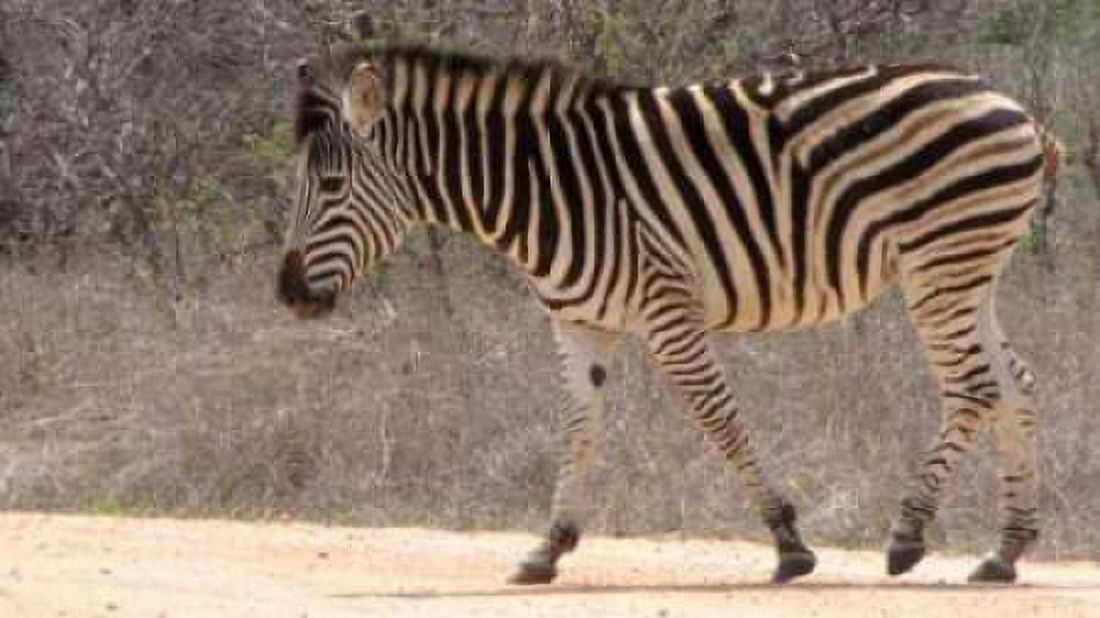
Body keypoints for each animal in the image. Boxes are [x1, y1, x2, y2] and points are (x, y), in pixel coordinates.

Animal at [276, 44, 1062, 585]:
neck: (542, 190)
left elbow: (719, 418)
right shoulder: (579, 322)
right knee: (1015, 383)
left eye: (332, 186)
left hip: (939, 263)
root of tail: (1015, 107)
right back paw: (1005, 550)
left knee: (977, 389)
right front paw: (548, 546)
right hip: (968, 272)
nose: (286, 293)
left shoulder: (666, 307)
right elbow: (578, 428)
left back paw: (907, 534)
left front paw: (788, 543)